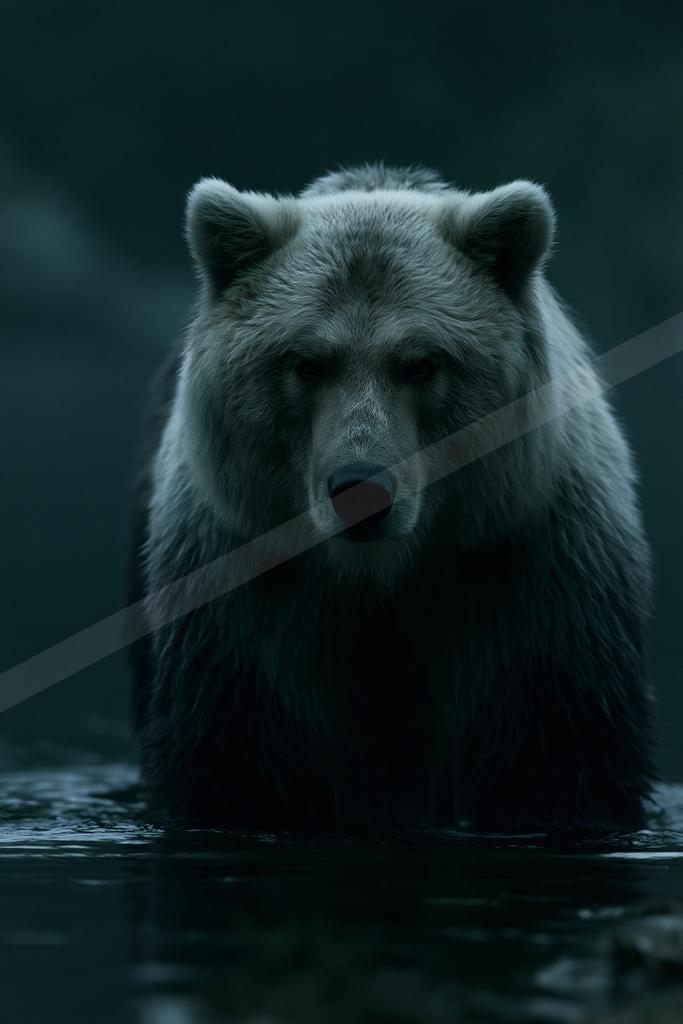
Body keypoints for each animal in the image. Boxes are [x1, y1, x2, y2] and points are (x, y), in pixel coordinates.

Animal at [128, 163, 656, 832]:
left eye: (422, 363)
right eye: (306, 362)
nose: (362, 489)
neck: (383, 571)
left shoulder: (530, 572)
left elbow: (558, 744)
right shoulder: (246, 593)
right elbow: (242, 753)